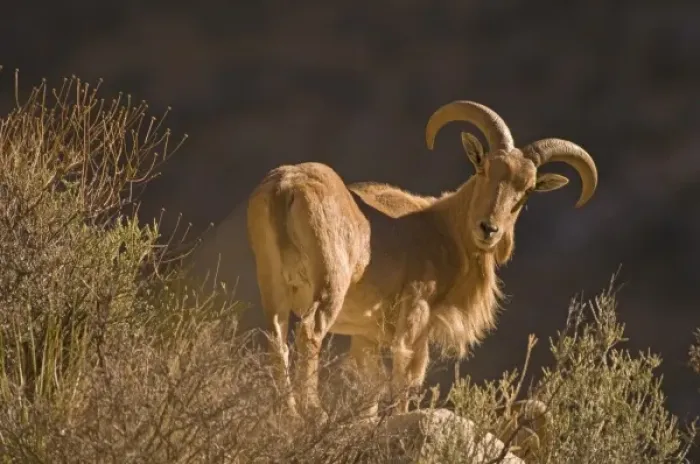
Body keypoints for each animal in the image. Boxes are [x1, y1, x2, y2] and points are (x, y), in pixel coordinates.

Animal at [246, 100, 598, 417]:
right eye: (484, 168)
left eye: (527, 190)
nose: (488, 228)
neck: (444, 228)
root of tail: (287, 187)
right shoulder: (417, 312)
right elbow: (406, 377)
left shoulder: (366, 335)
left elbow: (369, 385)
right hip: (332, 283)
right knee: (310, 332)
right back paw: (313, 410)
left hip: (272, 282)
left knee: (276, 337)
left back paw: (287, 412)